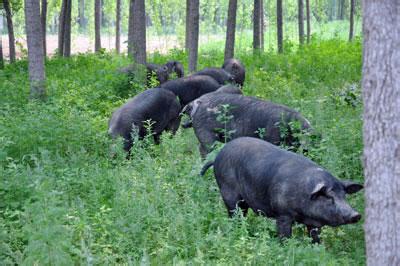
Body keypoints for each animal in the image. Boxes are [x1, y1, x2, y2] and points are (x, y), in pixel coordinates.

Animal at [202, 137, 364, 243]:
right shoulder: (283, 214)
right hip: (227, 191)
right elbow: (284, 235)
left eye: (344, 195)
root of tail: (217, 157)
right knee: (233, 214)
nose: (356, 214)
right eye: (329, 196)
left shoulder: (313, 223)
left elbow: (315, 237)